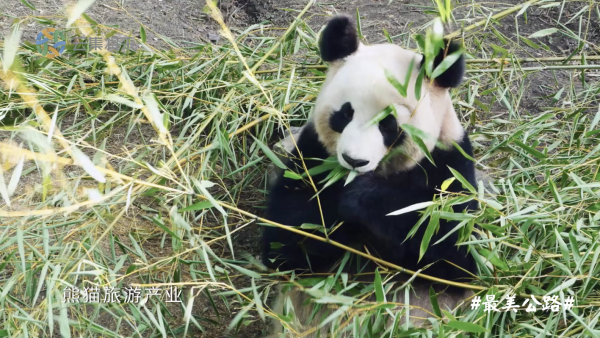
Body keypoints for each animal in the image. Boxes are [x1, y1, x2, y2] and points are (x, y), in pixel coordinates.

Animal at [262, 14, 478, 336]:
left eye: (388, 124)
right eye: (345, 113)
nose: (354, 160)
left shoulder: (450, 166)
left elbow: (453, 252)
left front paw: (360, 197)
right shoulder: (310, 155)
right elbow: (285, 241)